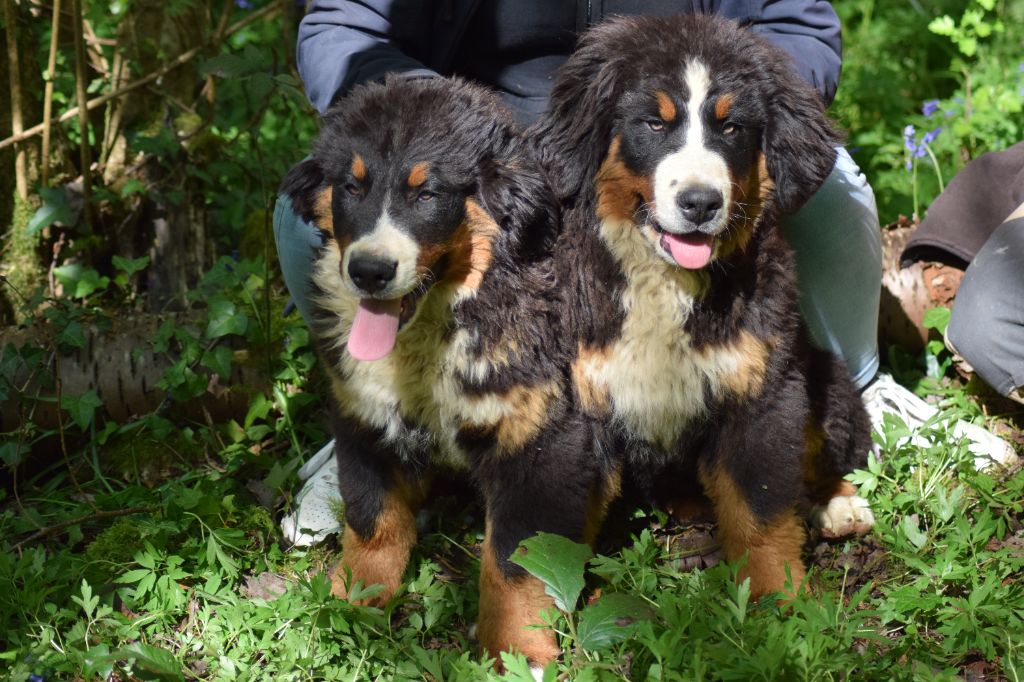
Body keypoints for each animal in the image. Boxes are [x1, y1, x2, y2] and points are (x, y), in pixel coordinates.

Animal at [532, 13, 876, 598]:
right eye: (653, 124)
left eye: (731, 128)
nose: (700, 202)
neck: (665, 282)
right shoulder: (583, 398)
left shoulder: (760, 389)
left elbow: (761, 511)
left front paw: (778, 601)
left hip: (820, 376)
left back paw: (837, 504)